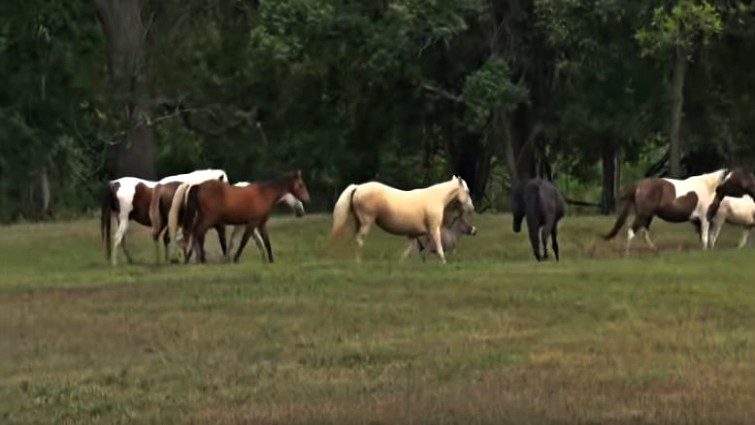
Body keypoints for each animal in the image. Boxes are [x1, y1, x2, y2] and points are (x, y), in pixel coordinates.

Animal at [182, 170, 310, 264]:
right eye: (301, 185)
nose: (307, 199)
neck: (264, 194)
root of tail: (198, 186)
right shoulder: (252, 223)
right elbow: (244, 241)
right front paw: (235, 259)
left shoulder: (261, 224)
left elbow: (266, 242)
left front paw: (270, 260)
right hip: (207, 219)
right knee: (198, 233)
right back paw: (198, 259)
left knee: (196, 233)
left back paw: (194, 258)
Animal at [328, 175, 474, 264]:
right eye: (467, 191)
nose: (471, 208)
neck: (435, 198)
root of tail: (358, 187)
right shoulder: (434, 229)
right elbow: (438, 246)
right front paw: (443, 262)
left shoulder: (413, 234)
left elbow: (409, 249)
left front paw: (401, 263)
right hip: (366, 223)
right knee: (359, 241)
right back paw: (359, 263)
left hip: (358, 223)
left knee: (355, 240)